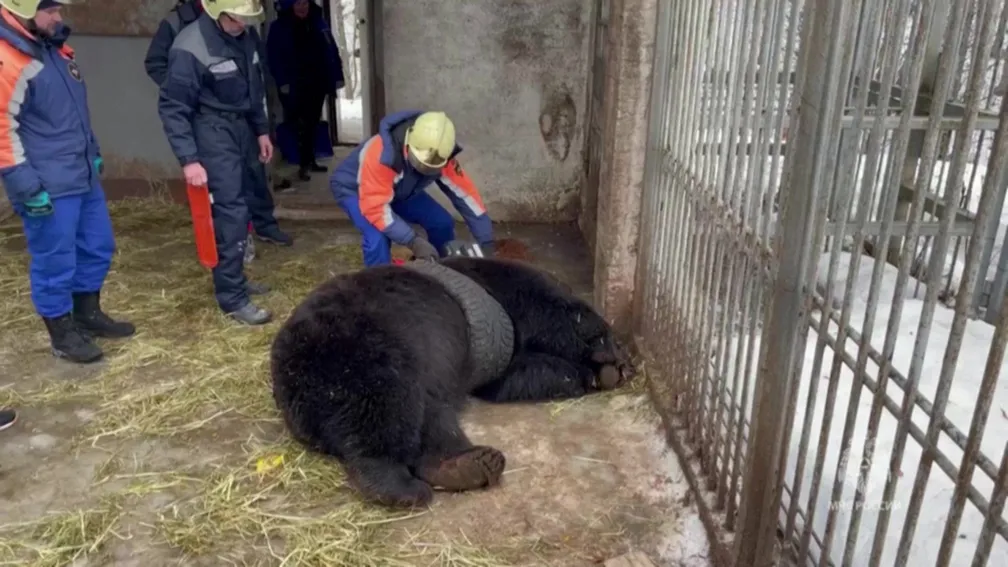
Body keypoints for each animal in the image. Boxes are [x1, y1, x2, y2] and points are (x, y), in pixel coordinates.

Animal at [269, 256, 636, 508]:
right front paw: (604, 357)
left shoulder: (495, 356)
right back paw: (400, 486)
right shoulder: (512, 301)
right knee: (385, 410)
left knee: (432, 418)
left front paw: (594, 372)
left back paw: (469, 464)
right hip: (364, 348)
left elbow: (518, 376)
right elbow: (555, 320)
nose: (621, 358)